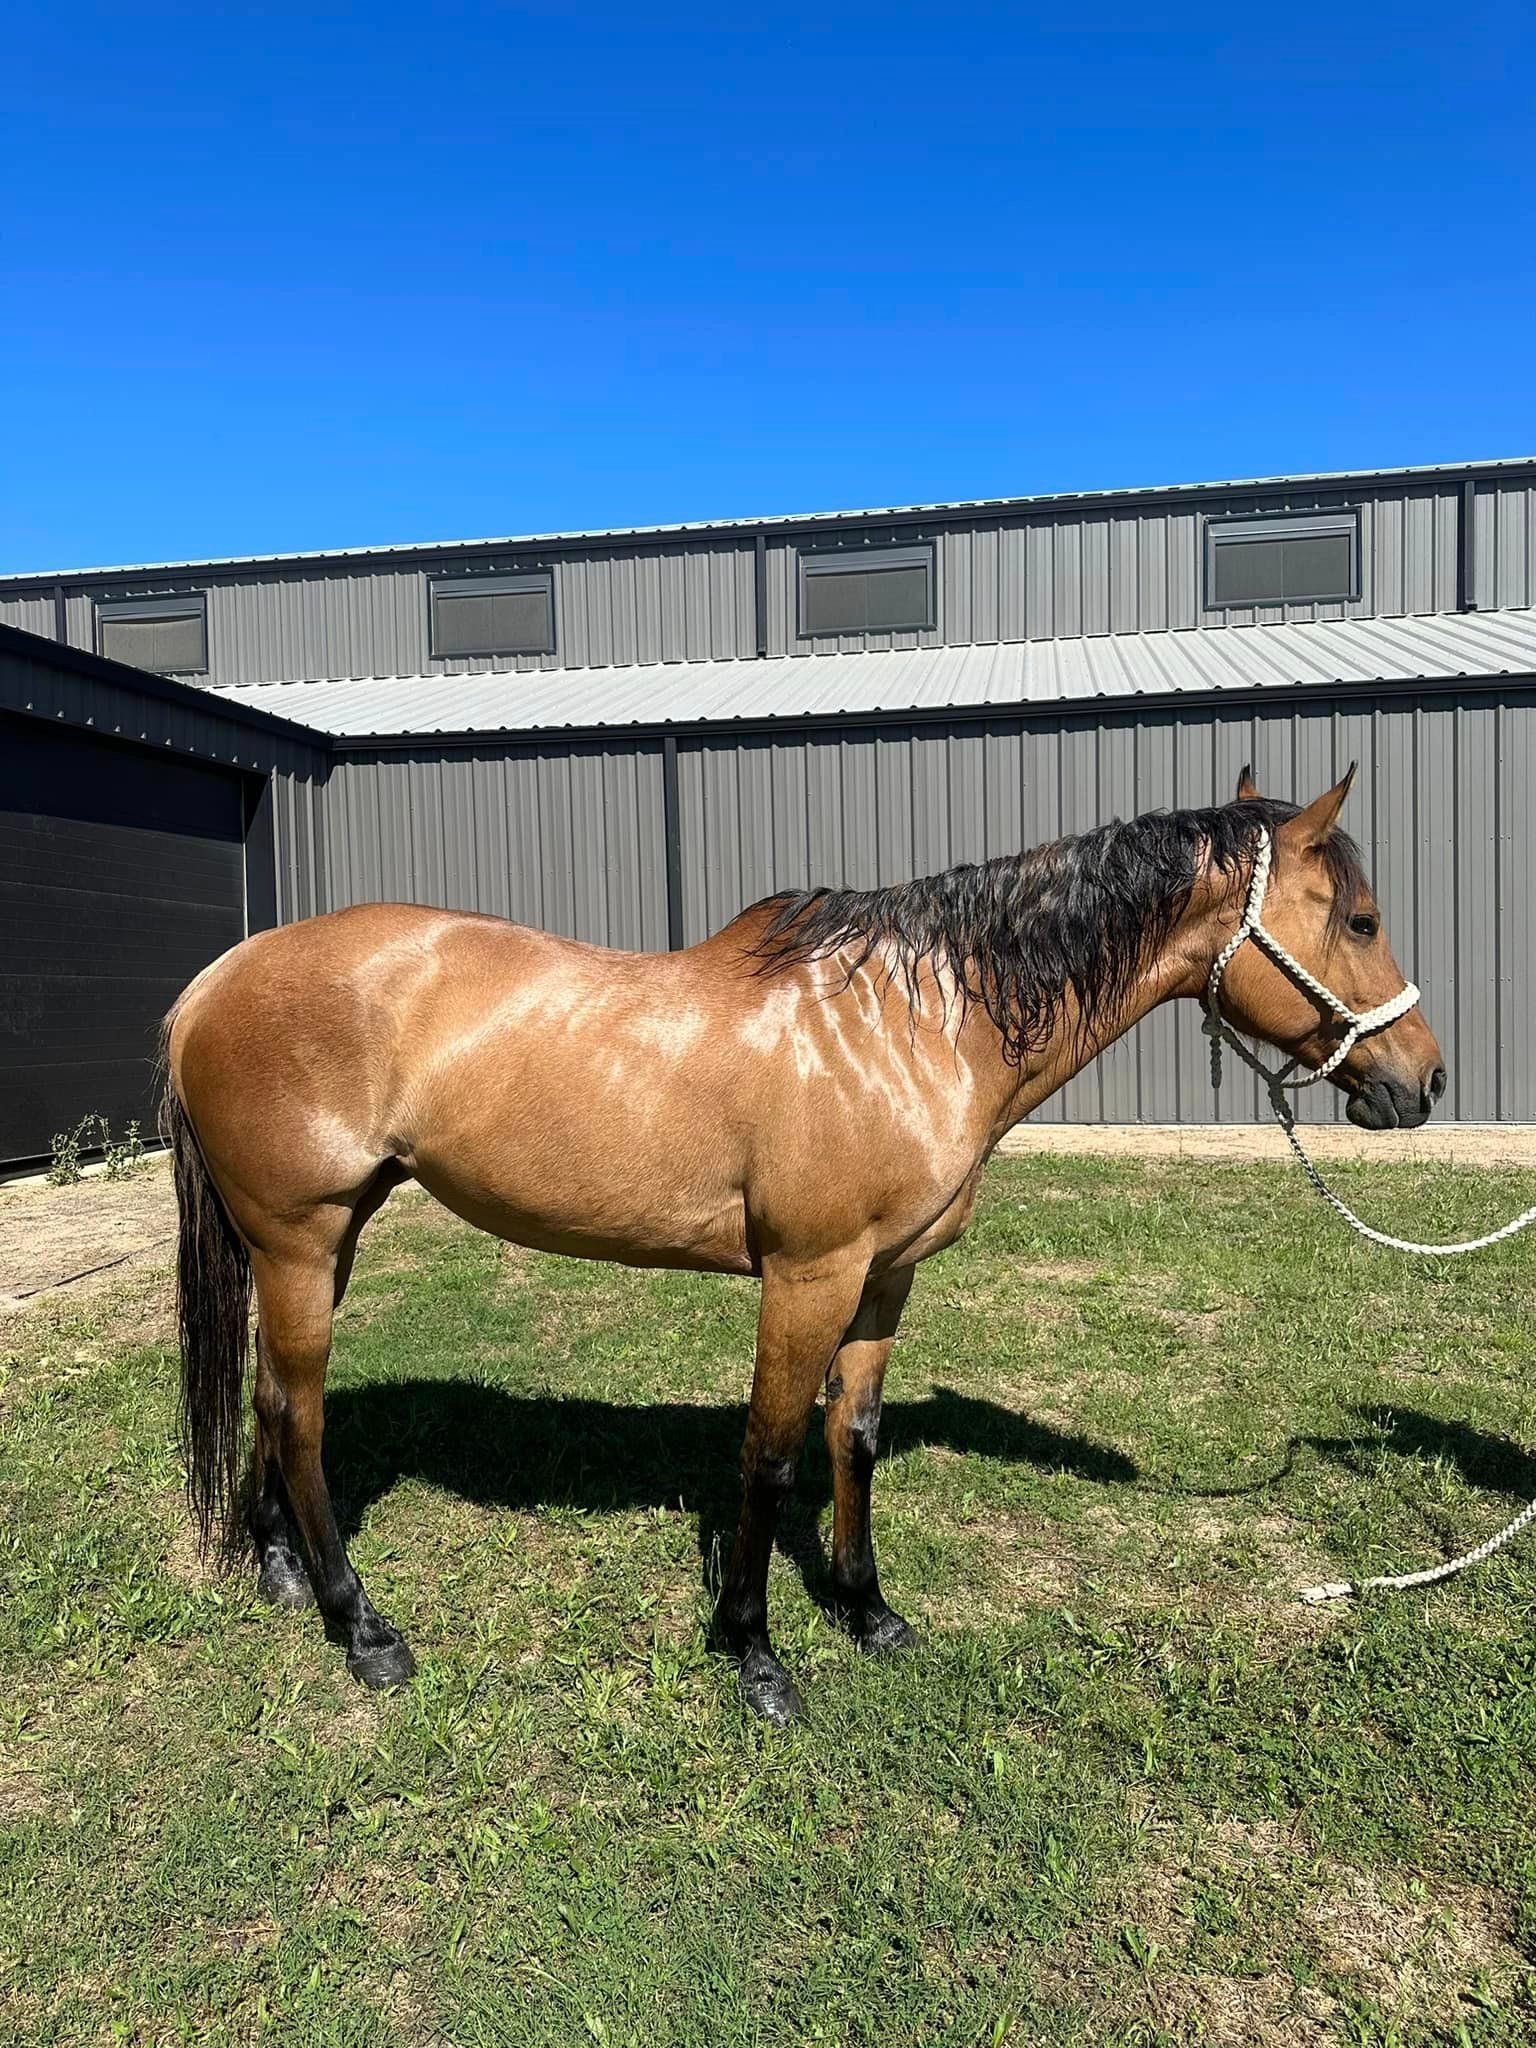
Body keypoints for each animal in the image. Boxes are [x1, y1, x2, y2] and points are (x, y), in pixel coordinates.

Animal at [160, 766, 1445, 1724]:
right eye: (1363, 919)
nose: (1424, 1081)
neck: (913, 1023)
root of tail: (214, 979)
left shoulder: (885, 1277)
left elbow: (853, 1439)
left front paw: (871, 1611)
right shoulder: (806, 1276)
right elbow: (772, 1456)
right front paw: (755, 1651)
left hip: (321, 1238)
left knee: (271, 1398)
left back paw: (280, 1569)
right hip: (300, 1237)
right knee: (300, 1413)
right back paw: (360, 1623)